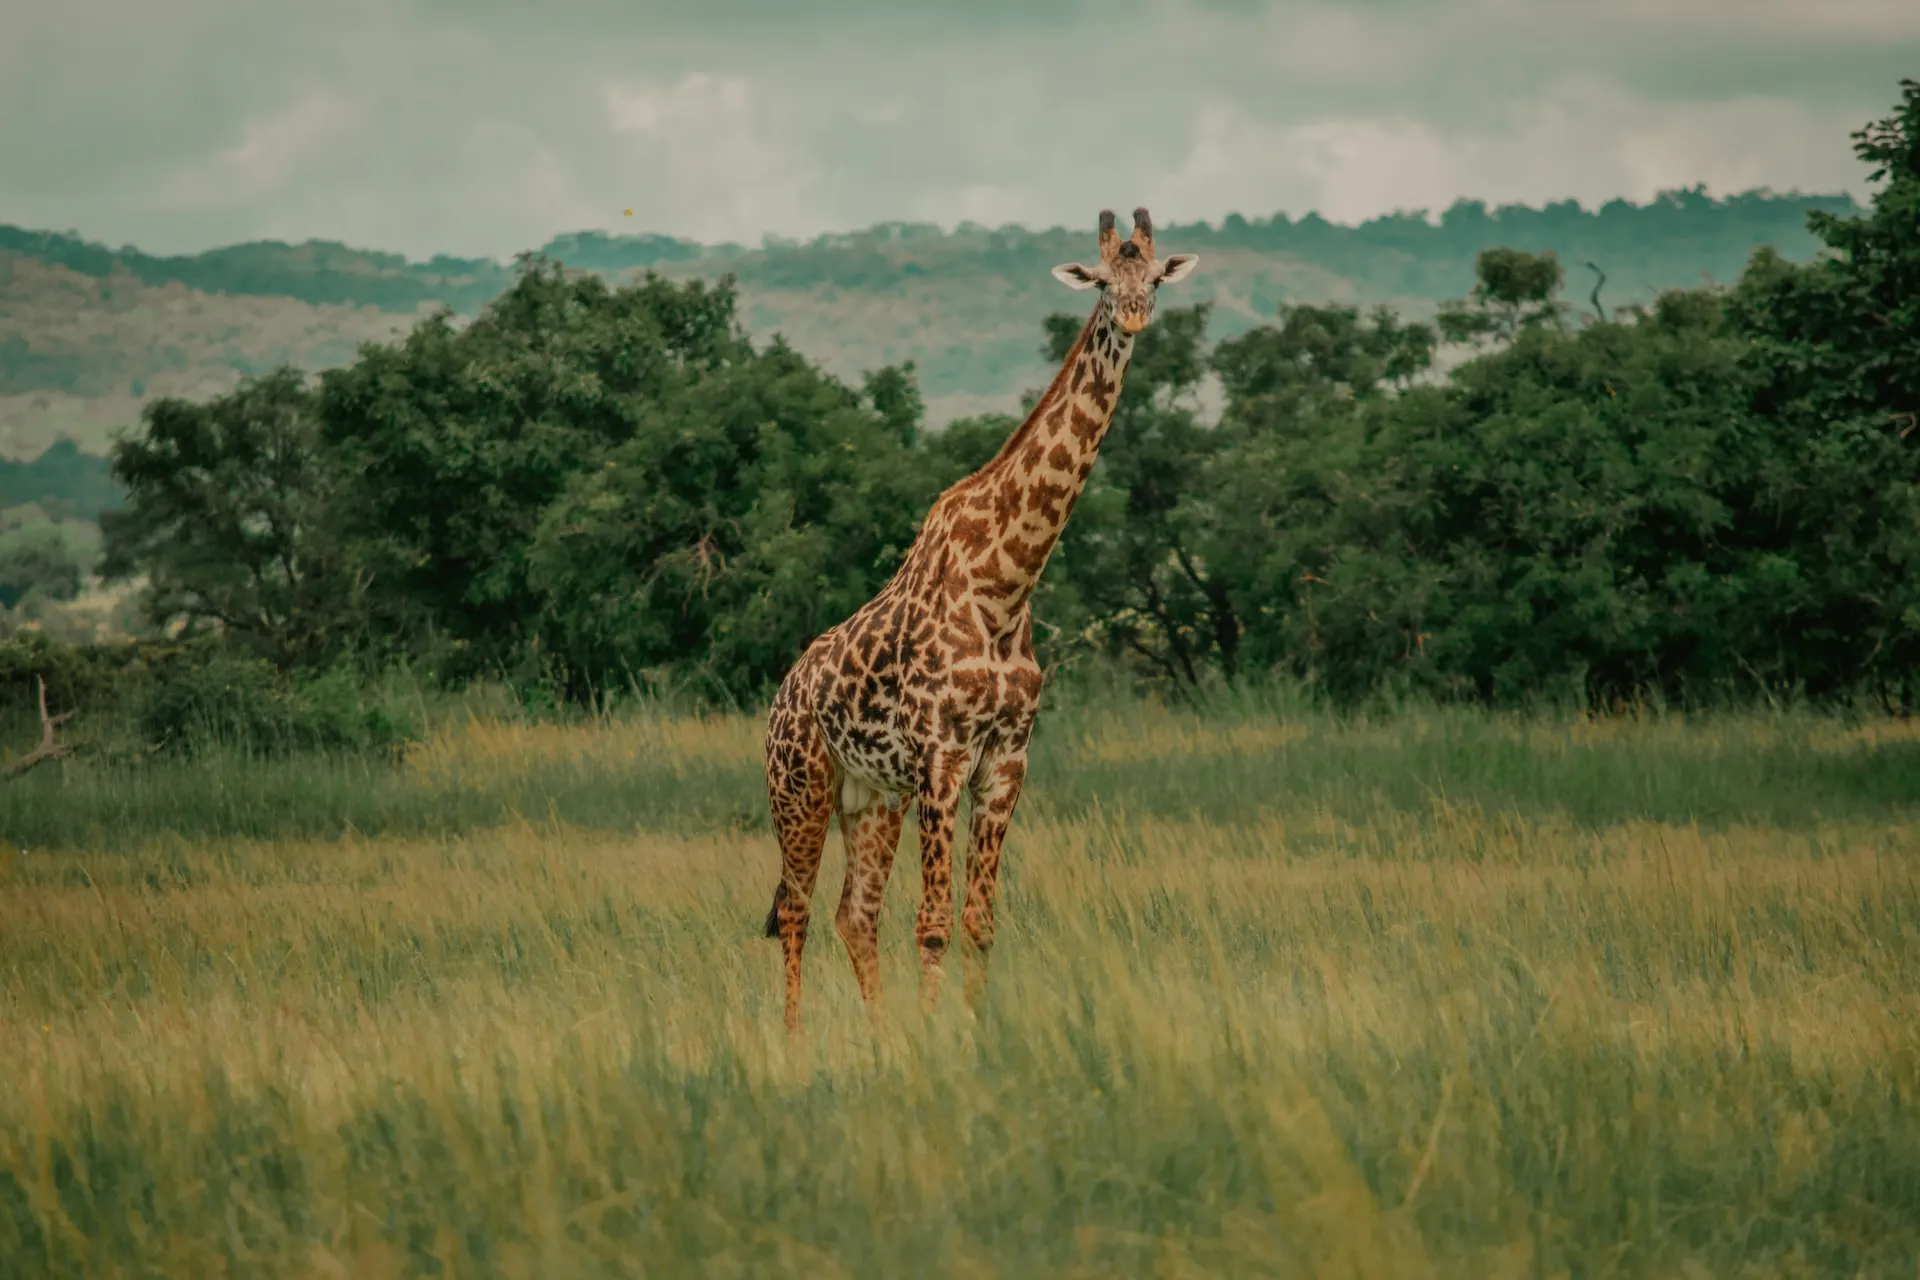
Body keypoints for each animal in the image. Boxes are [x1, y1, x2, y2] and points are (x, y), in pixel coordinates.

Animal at [760, 207, 1199, 1031]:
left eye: (1156, 277)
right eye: (1101, 280)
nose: (1132, 316)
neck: (1006, 586)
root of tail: (779, 697)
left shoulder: (1005, 761)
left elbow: (979, 922)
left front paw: (970, 1032)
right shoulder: (942, 756)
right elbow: (932, 925)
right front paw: (939, 1039)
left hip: (871, 797)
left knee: (854, 914)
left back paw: (879, 1035)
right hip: (799, 786)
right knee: (797, 910)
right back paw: (794, 1041)